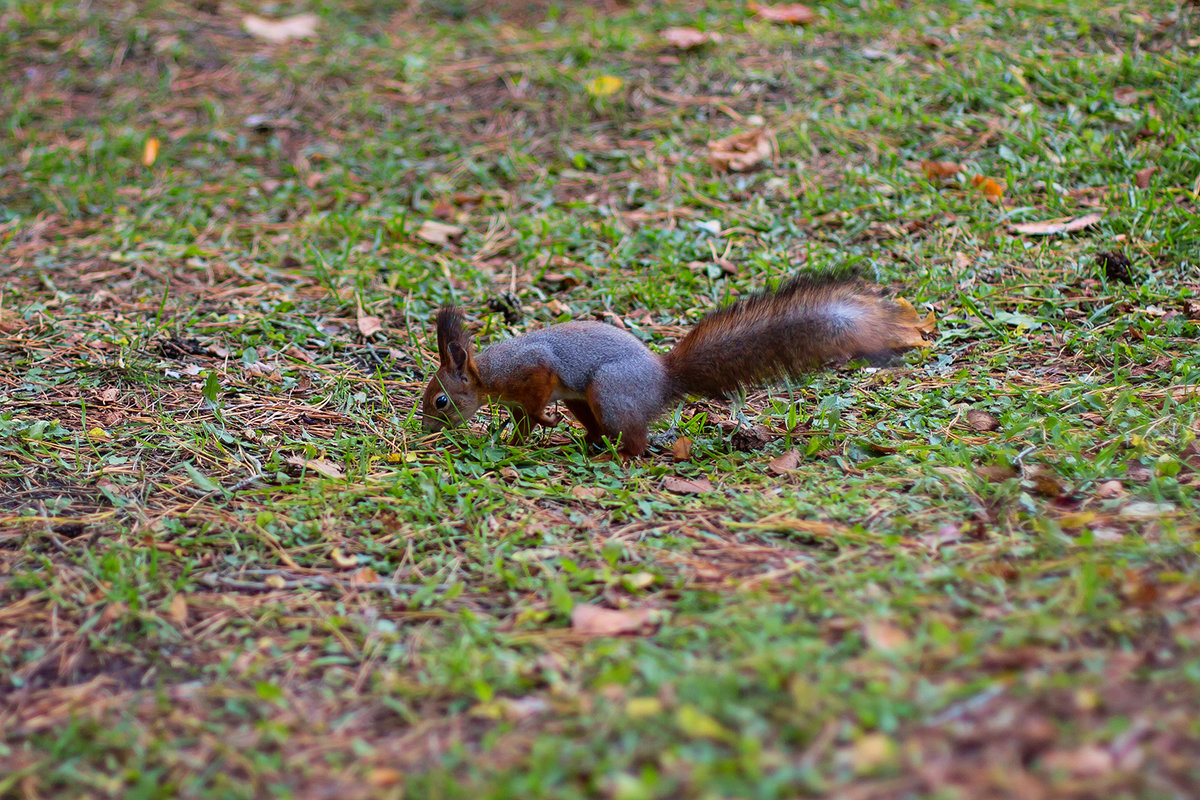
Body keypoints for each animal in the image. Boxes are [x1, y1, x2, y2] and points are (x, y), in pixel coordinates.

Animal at [417, 275, 931, 453]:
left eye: (440, 401)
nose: (424, 430)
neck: (488, 373)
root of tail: (662, 380)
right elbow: (522, 420)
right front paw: (517, 437)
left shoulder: (535, 370)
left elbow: (537, 399)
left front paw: (542, 422)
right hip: (590, 400)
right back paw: (590, 443)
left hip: (609, 389)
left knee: (636, 440)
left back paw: (619, 454)